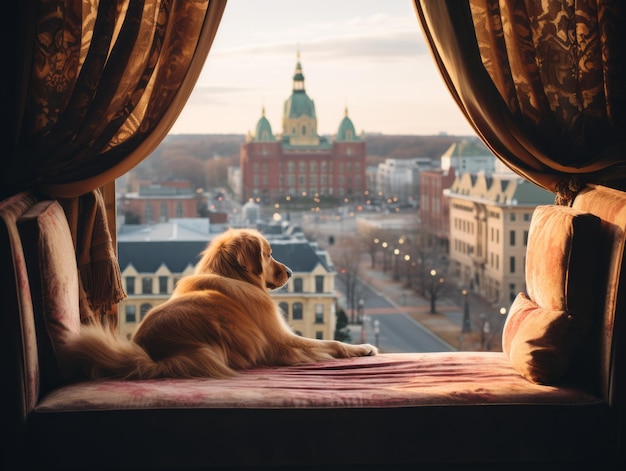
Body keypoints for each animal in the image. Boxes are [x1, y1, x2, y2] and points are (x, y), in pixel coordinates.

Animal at [62, 229, 376, 380]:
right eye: (268, 254)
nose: (290, 272)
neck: (230, 274)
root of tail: (149, 354)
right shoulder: (280, 339)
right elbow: (331, 343)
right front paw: (362, 348)